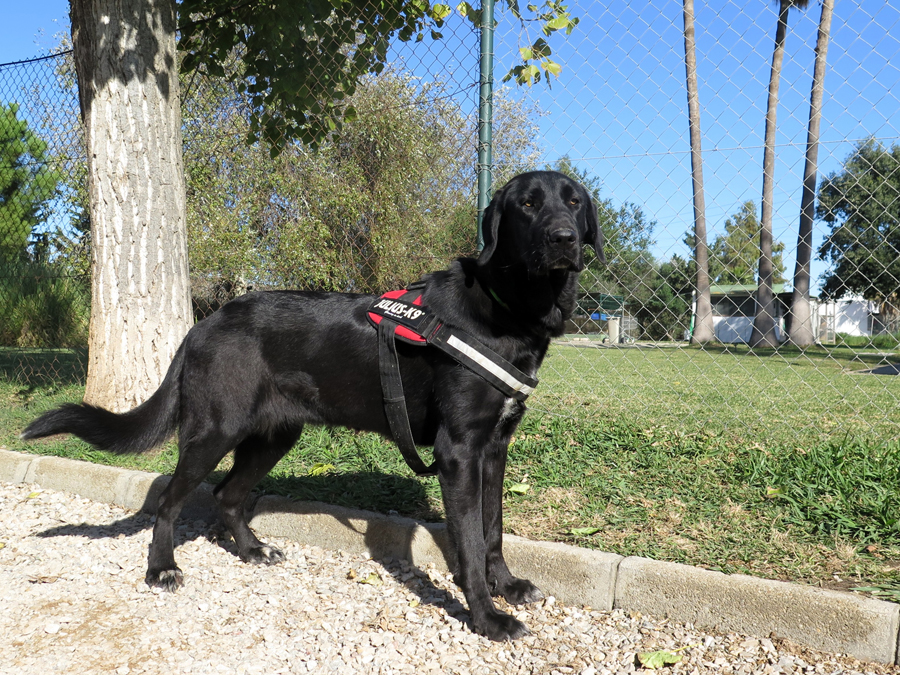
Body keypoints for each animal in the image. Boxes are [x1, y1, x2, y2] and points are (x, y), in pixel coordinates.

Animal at [21, 170, 604, 641]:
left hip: (274, 436)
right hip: (215, 430)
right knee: (170, 501)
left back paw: (252, 550)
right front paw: (486, 616)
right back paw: (161, 567)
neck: (505, 308)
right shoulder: (459, 451)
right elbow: (468, 540)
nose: (563, 239)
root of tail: (204, 324)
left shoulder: (494, 448)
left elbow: (493, 529)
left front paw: (507, 584)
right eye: (527, 204)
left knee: (228, 496)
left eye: (574, 202)